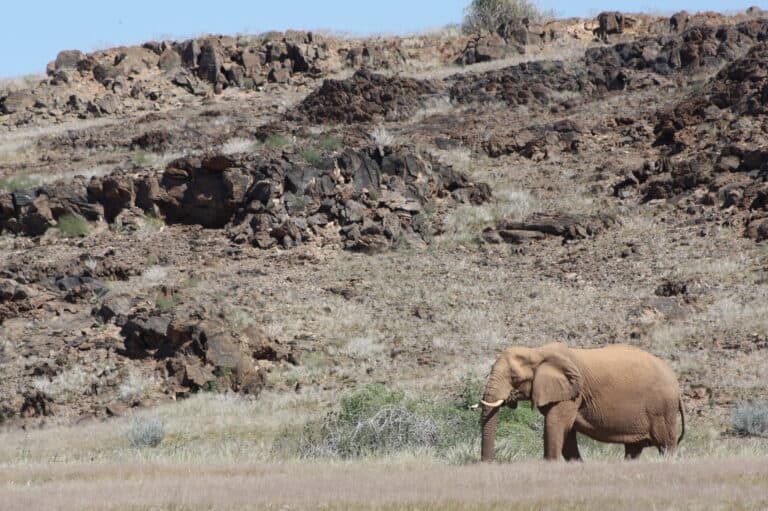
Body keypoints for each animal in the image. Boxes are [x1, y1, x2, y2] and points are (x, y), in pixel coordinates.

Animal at [479, 343, 685, 462]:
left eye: (514, 377)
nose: (488, 463)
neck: (537, 352)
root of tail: (676, 384)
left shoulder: (573, 393)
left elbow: (555, 425)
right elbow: (567, 434)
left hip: (662, 410)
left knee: (666, 446)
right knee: (633, 450)